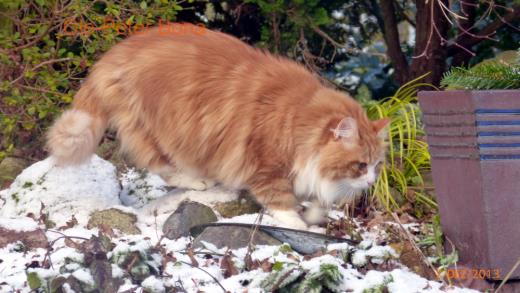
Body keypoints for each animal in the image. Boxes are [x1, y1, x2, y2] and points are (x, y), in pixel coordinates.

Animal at [48, 23, 388, 228]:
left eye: (376, 166)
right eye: (361, 165)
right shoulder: (267, 166)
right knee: (159, 165)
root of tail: (115, 54)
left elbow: (317, 200)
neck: (299, 121)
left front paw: (316, 214)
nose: (371, 182)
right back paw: (198, 182)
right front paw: (300, 225)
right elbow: (282, 203)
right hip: (161, 131)